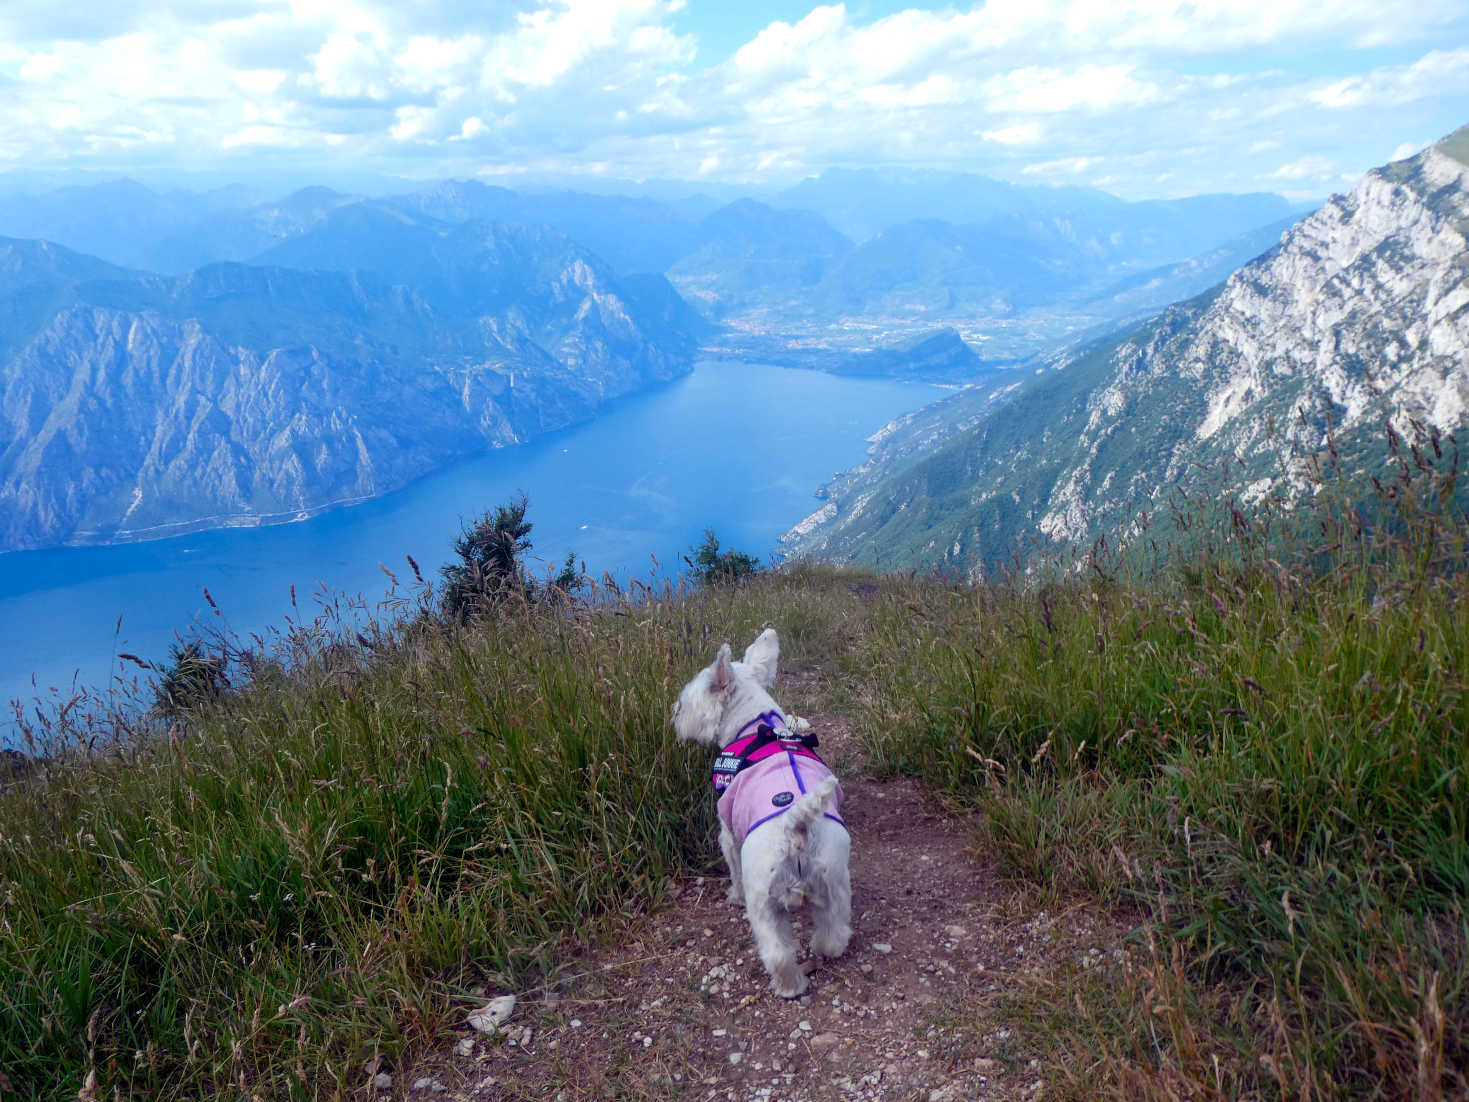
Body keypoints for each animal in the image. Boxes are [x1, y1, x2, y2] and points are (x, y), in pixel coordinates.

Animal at [672, 628, 857, 999]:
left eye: (688, 699)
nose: (674, 712)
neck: (755, 726)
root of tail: (794, 824)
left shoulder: (728, 835)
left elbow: (732, 869)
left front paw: (733, 896)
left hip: (765, 902)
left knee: (778, 953)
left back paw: (789, 986)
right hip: (834, 883)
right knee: (834, 931)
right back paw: (823, 948)